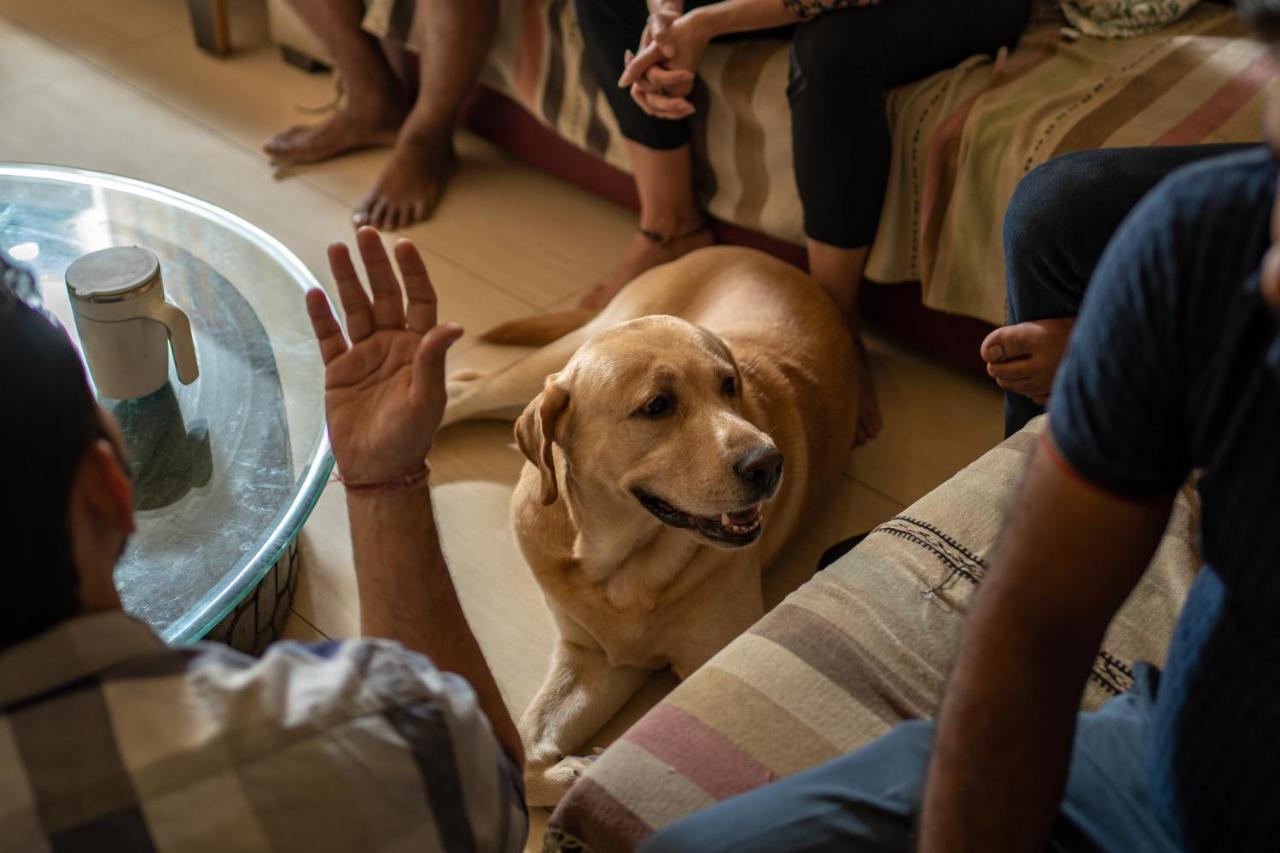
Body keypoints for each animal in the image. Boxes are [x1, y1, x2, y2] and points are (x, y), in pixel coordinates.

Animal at [442, 242, 860, 799]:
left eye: (730, 386)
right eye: (657, 406)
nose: (770, 464)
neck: (618, 561)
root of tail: (756, 253)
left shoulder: (696, 658)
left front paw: (583, 771)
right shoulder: (586, 651)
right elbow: (526, 751)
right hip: (548, 366)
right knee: (462, 388)